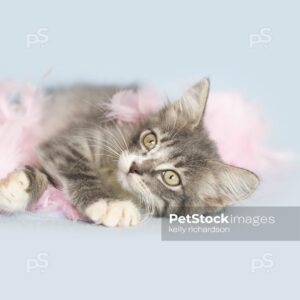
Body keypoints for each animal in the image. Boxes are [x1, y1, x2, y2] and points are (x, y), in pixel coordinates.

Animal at [0, 78, 258, 226]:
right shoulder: (71, 142)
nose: (134, 167)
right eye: (149, 140)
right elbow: (79, 169)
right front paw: (109, 203)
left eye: (171, 177)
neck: (113, 181)